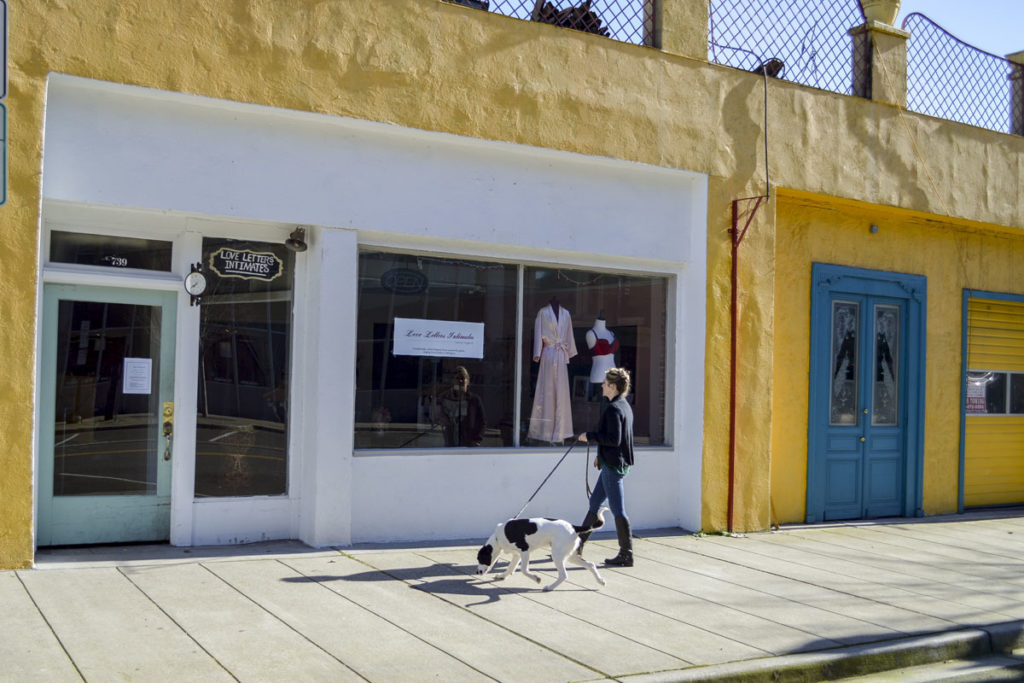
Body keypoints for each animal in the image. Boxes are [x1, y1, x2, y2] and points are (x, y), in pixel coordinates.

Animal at [473, 507, 606, 593]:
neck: (498, 537)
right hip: (570, 555)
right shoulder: (517, 555)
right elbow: (511, 568)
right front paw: (502, 575)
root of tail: (573, 527)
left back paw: (549, 588)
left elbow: (524, 570)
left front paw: (536, 578)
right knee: (591, 564)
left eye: (480, 558)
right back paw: (600, 581)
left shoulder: (525, 551)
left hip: (557, 555)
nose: (477, 572)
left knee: (564, 575)